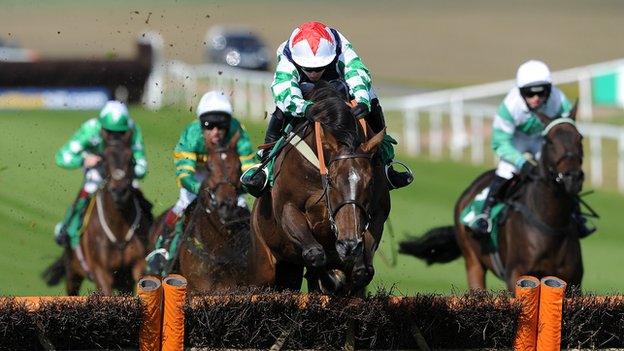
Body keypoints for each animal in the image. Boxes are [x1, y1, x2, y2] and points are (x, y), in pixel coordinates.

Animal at [250, 82, 388, 294]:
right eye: (331, 181)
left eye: (370, 182)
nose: (349, 244)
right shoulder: (287, 207)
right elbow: (315, 254)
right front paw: (332, 278)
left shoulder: (378, 211)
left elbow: (363, 271)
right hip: (265, 265)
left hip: (289, 271)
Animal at [400, 104, 584, 292]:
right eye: (549, 141)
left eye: (579, 138)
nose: (572, 177)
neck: (551, 225)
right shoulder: (515, 274)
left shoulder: (573, 281)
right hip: (473, 262)